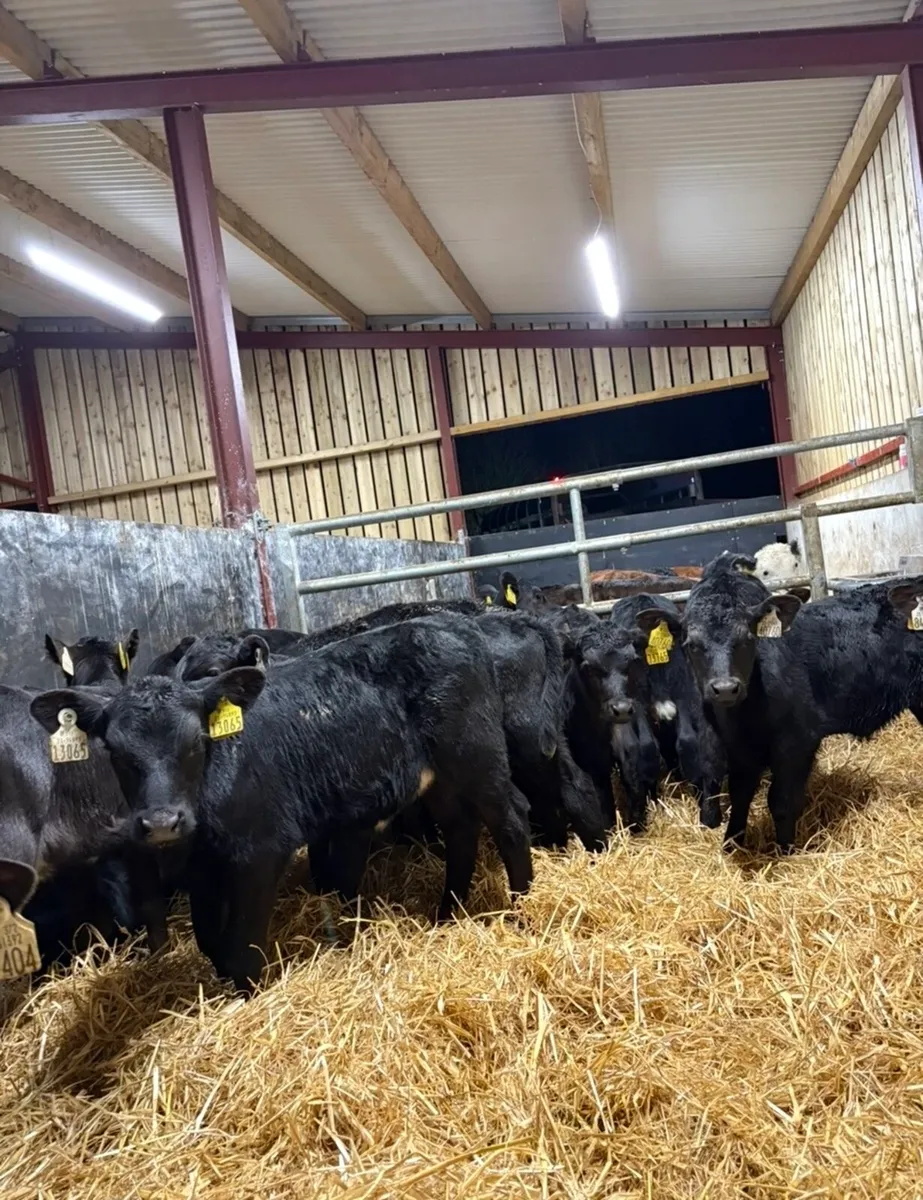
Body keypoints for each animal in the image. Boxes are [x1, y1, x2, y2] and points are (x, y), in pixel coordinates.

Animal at [30, 614, 535, 991]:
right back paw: (448, 913)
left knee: (510, 819)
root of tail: (452, 624)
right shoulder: (201, 870)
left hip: (476, 756)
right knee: (461, 829)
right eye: (114, 750)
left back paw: (523, 910)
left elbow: (242, 947)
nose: (161, 823)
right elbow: (212, 943)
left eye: (195, 742)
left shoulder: (260, 851)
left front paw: (249, 999)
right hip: (439, 779)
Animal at [678, 551, 923, 851]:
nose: (725, 688)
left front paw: (786, 850)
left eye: (748, 639)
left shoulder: (798, 743)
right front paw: (731, 844)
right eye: (692, 645)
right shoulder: (736, 750)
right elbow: (739, 794)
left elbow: (782, 802)